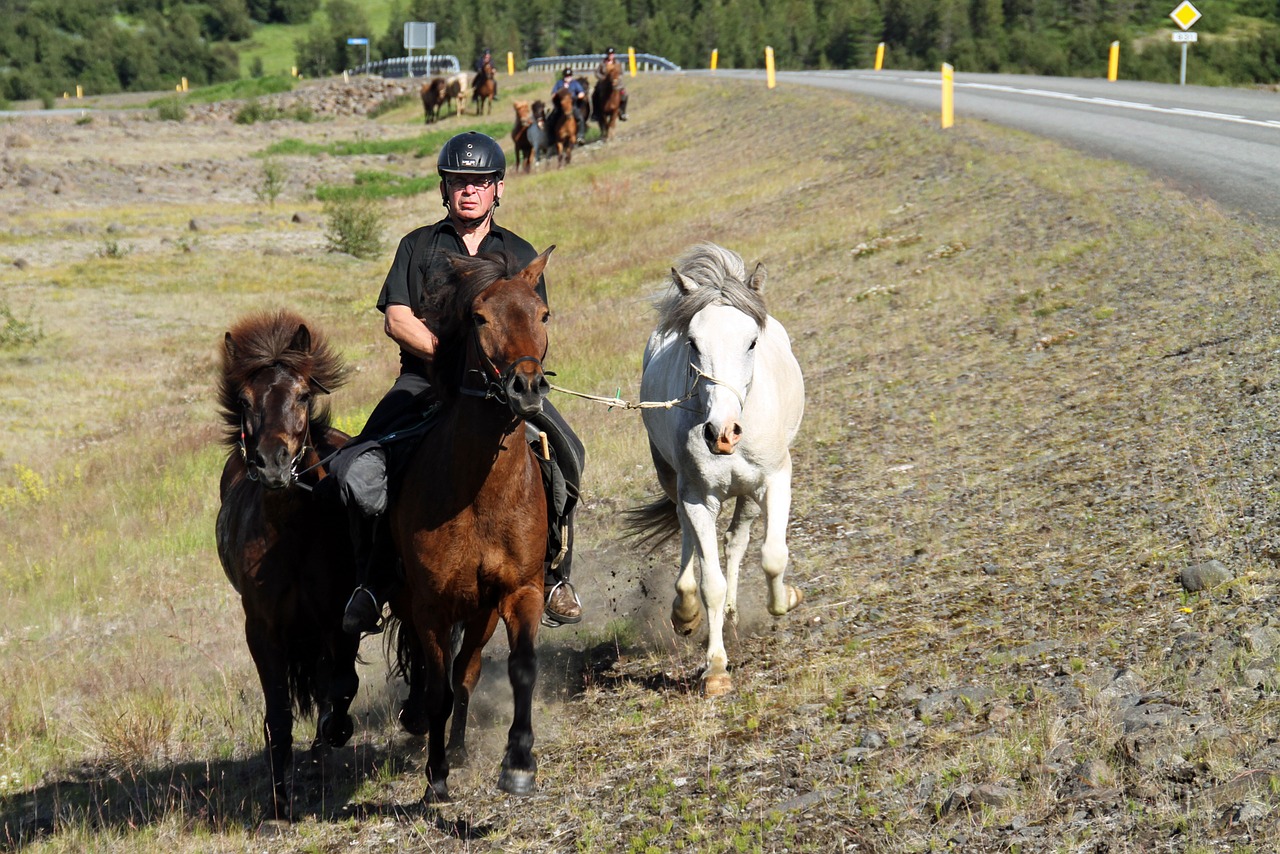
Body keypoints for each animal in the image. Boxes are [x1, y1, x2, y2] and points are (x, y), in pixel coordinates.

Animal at [212, 311, 358, 819]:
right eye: (244, 400)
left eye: (303, 394)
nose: (272, 464)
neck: (291, 539)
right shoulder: (263, 628)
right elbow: (278, 713)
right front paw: (279, 798)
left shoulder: (337, 617)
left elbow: (337, 686)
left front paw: (330, 741)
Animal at [384, 245, 555, 804]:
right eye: (479, 318)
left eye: (543, 314)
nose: (526, 387)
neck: (479, 495)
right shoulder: (431, 606)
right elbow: (436, 686)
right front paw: (435, 777)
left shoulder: (520, 590)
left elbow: (520, 669)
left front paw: (519, 762)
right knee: (435, 678)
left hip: (480, 613)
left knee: (467, 672)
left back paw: (457, 746)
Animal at [627, 243, 803, 696]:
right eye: (692, 342)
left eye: (752, 342)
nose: (722, 434)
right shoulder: (697, 496)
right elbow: (711, 583)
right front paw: (716, 669)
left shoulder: (775, 481)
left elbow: (772, 556)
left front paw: (786, 600)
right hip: (674, 481)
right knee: (689, 537)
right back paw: (685, 612)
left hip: (749, 494)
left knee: (736, 541)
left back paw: (733, 612)